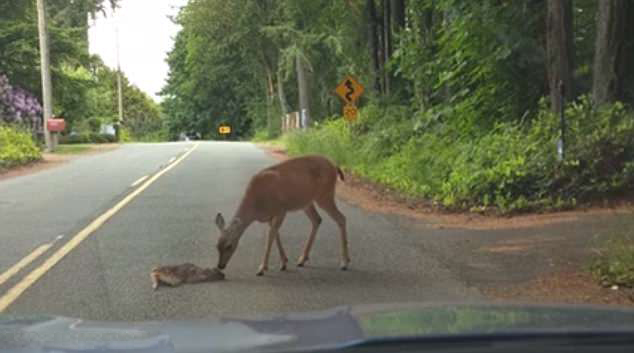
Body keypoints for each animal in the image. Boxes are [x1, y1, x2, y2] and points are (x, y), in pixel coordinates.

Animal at [215, 155, 348, 276]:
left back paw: (344, 262)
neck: (256, 206)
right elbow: (275, 234)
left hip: (325, 195)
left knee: (341, 218)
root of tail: (334, 166)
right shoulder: (270, 215)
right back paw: (302, 259)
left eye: (229, 246)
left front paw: (262, 268)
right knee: (317, 220)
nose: (220, 266)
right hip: (307, 202)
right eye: (217, 245)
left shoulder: (281, 210)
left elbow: (270, 236)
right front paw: (284, 263)